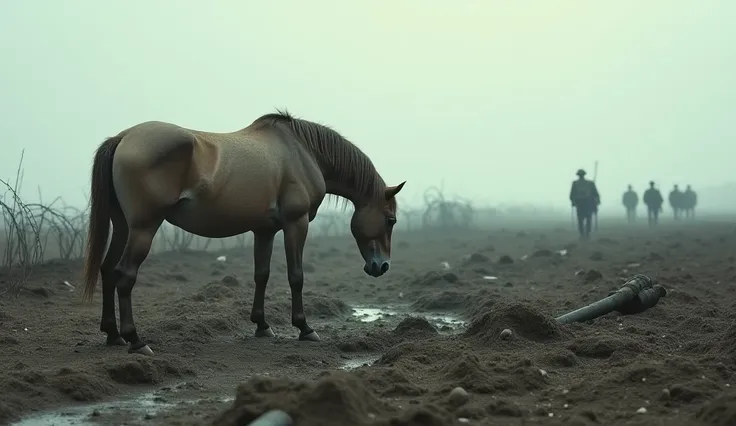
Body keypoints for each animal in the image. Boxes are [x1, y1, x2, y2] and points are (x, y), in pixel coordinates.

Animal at [82, 110, 406, 356]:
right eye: (391, 220)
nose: (381, 266)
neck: (302, 153)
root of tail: (123, 138)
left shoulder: (264, 230)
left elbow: (261, 274)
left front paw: (262, 325)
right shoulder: (296, 223)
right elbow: (296, 276)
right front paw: (304, 328)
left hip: (123, 226)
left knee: (108, 270)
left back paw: (113, 335)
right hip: (143, 228)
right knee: (125, 275)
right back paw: (136, 340)